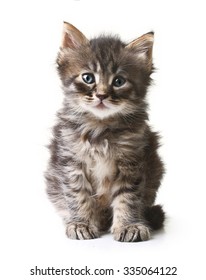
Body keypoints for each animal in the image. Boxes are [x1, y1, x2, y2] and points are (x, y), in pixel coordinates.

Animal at [45, 21, 165, 242]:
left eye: (119, 81)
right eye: (88, 78)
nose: (101, 95)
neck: (100, 128)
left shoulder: (132, 162)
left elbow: (128, 197)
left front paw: (128, 225)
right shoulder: (71, 161)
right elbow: (78, 194)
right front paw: (82, 223)